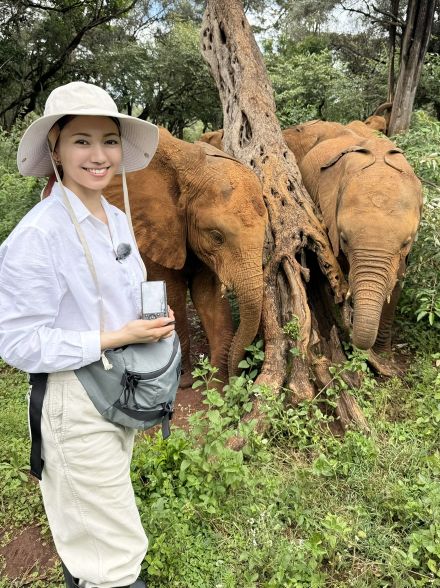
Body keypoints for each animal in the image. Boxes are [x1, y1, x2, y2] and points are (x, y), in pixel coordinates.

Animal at [104, 126, 268, 388]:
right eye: (217, 236)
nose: (239, 378)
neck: (191, 166)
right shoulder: (149, 232)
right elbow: (173, 294)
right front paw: (184, 380)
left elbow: (208, 296)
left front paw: (216, 382)